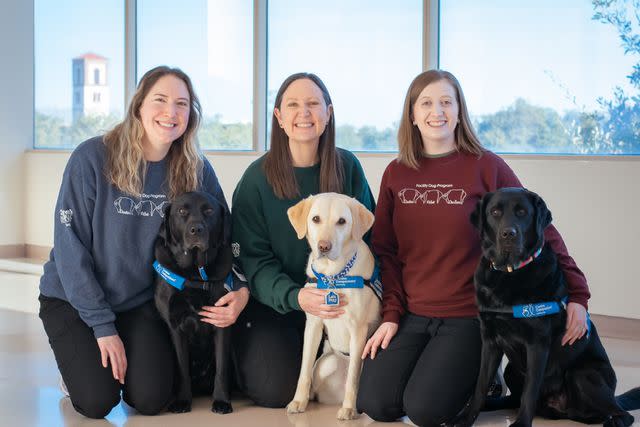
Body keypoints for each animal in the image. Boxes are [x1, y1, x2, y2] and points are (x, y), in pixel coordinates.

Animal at [153, 192, 235, 416]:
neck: (195, 275)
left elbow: (222, 368)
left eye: (209, 211)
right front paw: (182, 401)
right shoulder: (176, 326)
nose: (196, 229)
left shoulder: (222, 321)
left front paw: (222, 401)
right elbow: (182, 369)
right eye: (182, 211)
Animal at [284, 194, 380, 422]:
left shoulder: (358, 330)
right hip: (327, 364)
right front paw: (298, 401)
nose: (324, 247)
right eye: (316, 219)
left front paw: (348, 409)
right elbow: (304, 369)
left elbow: (354, 378)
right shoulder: (313, 325)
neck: (333, 276)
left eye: (342, 221)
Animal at [452, 188, 636, 427]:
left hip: (583, 375)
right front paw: (466, 417)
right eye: (495, 212)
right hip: (512, 369)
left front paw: (521, 424)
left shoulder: (537, 345)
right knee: (515, 398)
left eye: (522, 212)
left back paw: (615, 420)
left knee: (621, 412)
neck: (510, 272)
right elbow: (480, 385)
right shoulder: (490, 341)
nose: (509, 234)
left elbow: (530, 390)